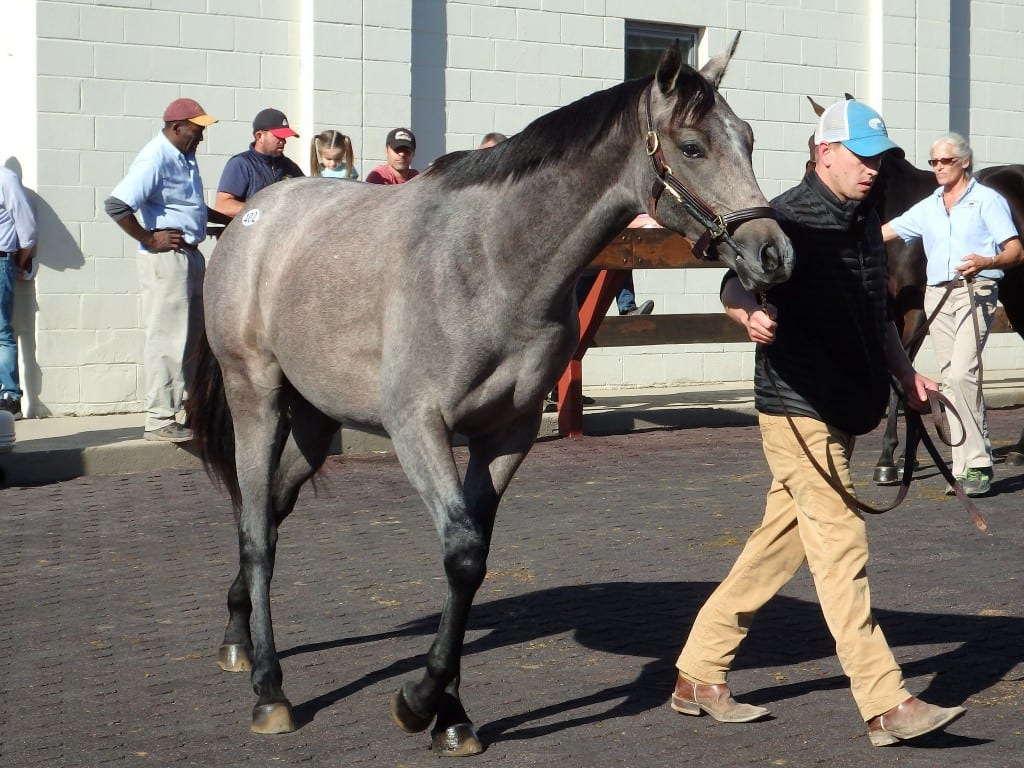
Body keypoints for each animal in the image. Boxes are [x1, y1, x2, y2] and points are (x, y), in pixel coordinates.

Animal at [184, 37, 790, 757]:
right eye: (693, 146)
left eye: (747, 137)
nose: (774, 253)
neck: (493, 262)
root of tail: (251, 221)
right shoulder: (418, 428)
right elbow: (463, 549)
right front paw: (418, 702)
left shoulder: (506, 435)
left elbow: (470, 566)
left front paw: (448, 713)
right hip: (257, 397)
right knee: (256, 529)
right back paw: (270, 690)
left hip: (314, 421)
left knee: (271, 510)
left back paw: (236, 636)